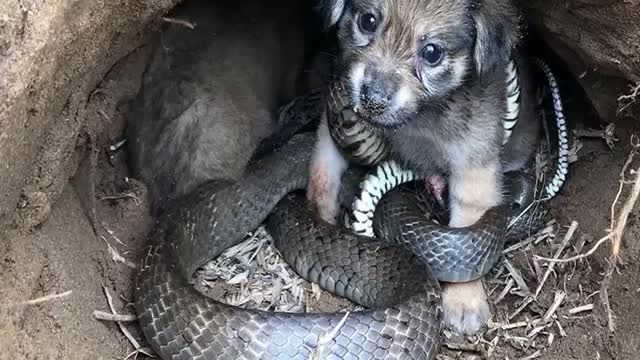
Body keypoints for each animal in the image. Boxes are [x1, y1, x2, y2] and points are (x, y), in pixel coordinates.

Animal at [310, 0, 540, 334]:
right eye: (368, 21)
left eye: (432, 53)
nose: (373, 98)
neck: (417, 121)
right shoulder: (333, 129)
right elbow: (321, 170)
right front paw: (317, 216)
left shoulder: (474, 162)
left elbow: (467, 233)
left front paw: (464, 299)